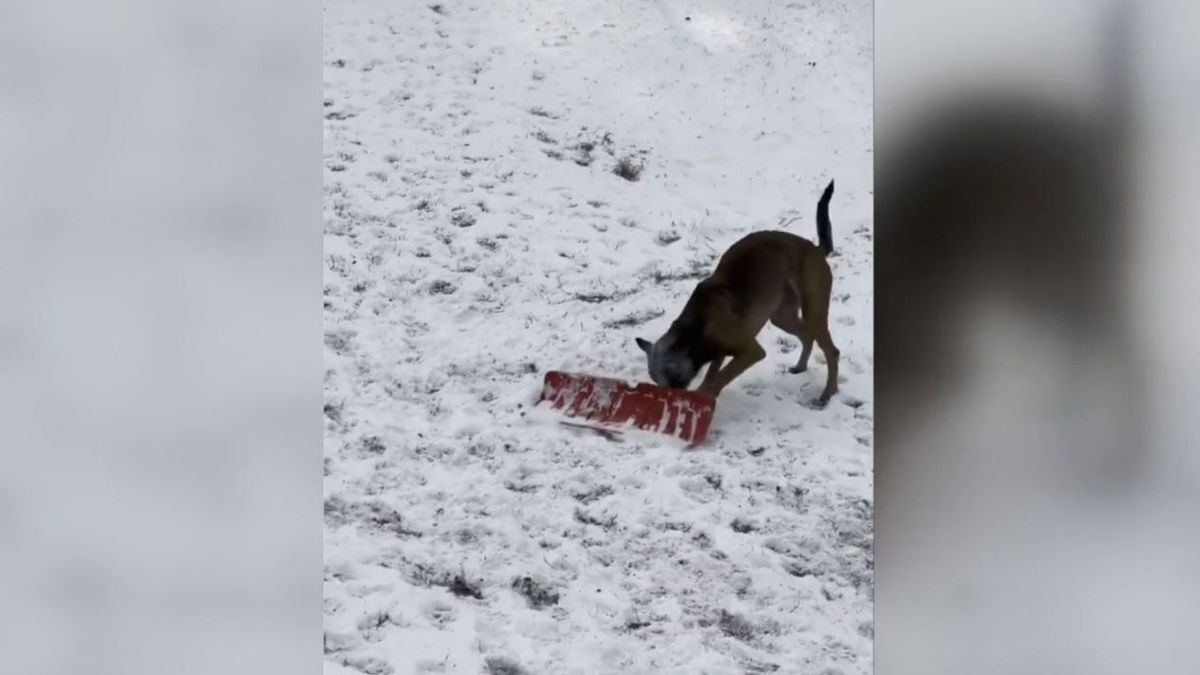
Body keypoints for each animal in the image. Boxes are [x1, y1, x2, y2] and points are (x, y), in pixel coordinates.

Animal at [633, 177, 840, 403]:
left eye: (670, 374)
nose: (669, 397)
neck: (696, 328)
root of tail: (816, 250)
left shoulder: (751, 351)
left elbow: (719, 378)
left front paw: (706, 395)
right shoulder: (721, 353)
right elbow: (713, 373)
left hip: (814, 310)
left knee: (832, 351)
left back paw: (828, 393)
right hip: (783, 316)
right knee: (806, 335)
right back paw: (801, 367)